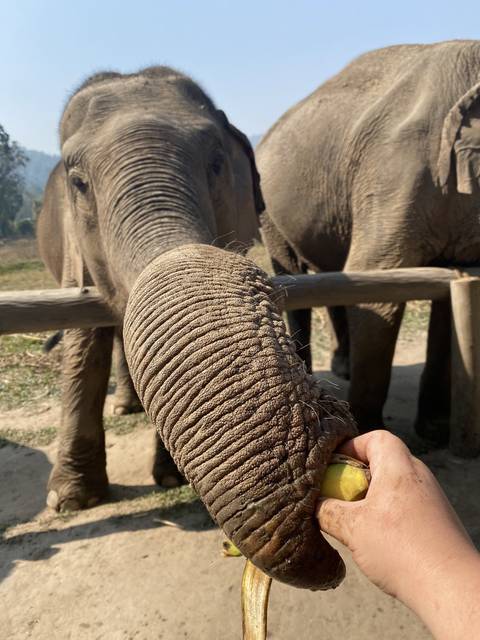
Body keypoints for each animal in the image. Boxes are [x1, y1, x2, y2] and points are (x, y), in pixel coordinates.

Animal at [37, 66, 356, 590]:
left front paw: (169, 477)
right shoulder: (74, 254)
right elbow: (84, 340)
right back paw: (122, 409)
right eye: (79, 183)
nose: (327, 426)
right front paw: (71, 500)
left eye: (216, 164)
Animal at [256, 40, 480, 443]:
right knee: (295, 275)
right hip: (270, 212)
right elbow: (377, 287)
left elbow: (451, 292)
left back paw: (342, 367)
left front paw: (435, 431)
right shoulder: (399, 169)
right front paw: (367, 429)